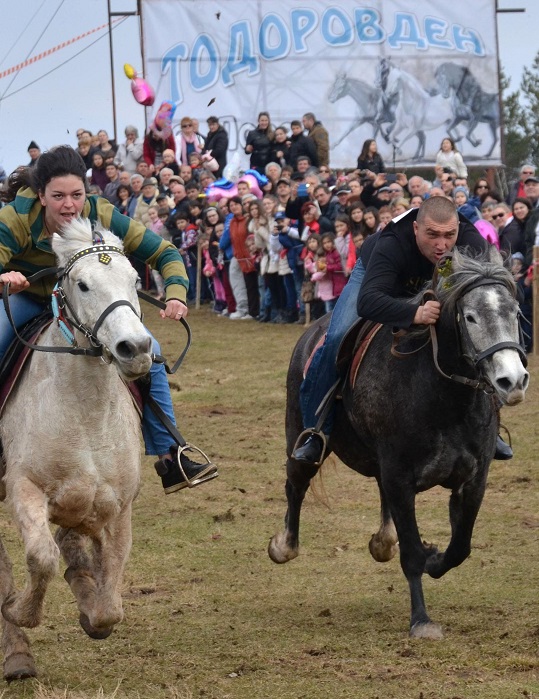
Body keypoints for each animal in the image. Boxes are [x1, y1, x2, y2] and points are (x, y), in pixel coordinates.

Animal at [0, 219, 154, 680]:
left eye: (135, 280)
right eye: (83, 284)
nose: (136, 350)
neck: (85, 415)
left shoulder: (118, 507)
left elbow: (108, 607)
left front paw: (87, 597)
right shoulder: (24, 489)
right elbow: (41, 558)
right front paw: (19, 611)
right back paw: (17, 654)